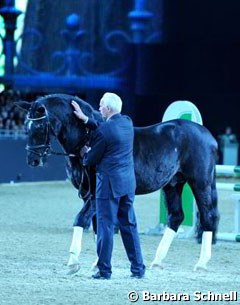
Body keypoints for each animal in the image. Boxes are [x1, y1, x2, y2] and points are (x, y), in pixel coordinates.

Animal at [16, 93, 219, 270]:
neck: (87, 138)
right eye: (26, 125)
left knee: (207, 217)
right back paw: (157, 261)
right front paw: (97, 262)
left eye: (39, 127)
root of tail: (208, 135)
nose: (33, 160)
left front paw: (73, 261)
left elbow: (81, 220)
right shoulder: (90, 195)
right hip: (173, 184)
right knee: (176, 217)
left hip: (200, 183)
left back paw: (201, 264)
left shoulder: (94, 194)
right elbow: (97, 227)